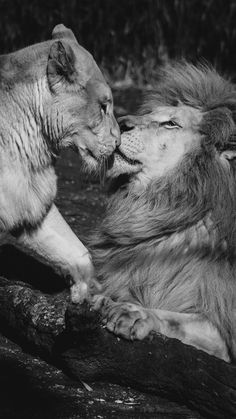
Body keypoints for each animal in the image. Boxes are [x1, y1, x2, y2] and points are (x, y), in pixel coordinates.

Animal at [91, 63, 236, 364]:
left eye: (171, 123)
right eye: (149, 114)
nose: (120, 122)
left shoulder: (225, 329)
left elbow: (176, 320)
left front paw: (132, 313)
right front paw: (101, 298)